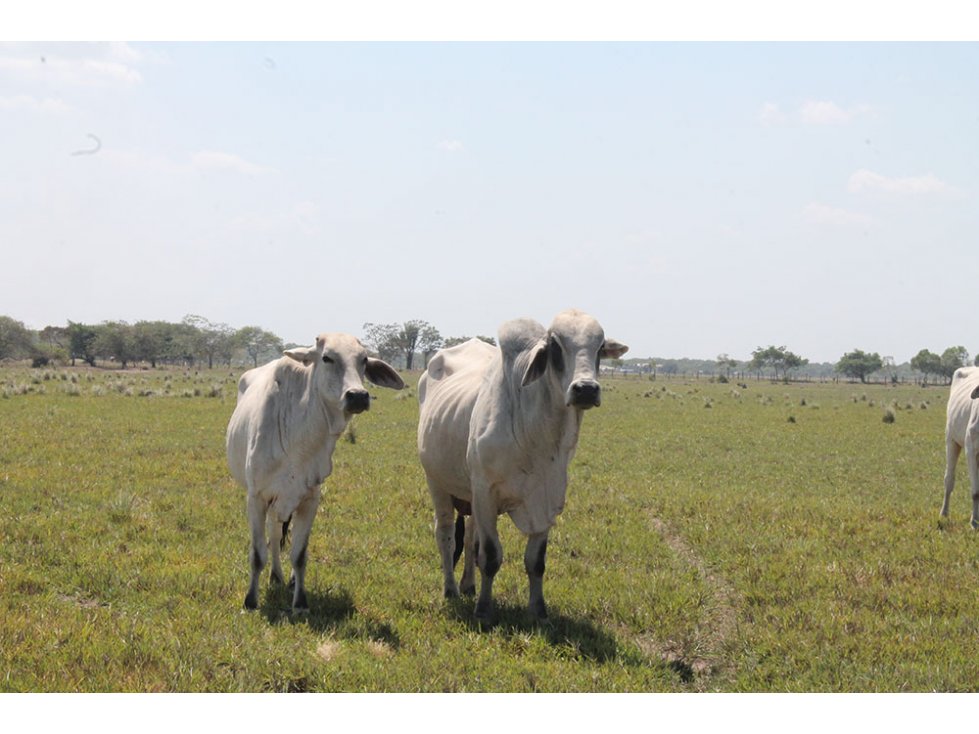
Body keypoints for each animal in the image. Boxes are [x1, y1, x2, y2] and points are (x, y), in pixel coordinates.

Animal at [226, 332, 402, 608]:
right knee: (273, 535)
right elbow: (257, 554)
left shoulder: (309, 499)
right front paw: (250, 601)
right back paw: (274, 576)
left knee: (277, 533)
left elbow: (299, 555)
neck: (298, 441)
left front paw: (300, 602)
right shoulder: (256, 497)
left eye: (363, 360)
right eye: (327, 357)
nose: (358, 396)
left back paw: (282, 577)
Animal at [416, 308, 628, 624]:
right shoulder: (486, 493)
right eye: (555, 346)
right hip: (437, 482)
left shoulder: (547, 498)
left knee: (470, 537)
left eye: (600, 347)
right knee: (446, 535)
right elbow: (490, 556)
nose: (586, 389)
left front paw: (538, 610)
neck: (537, 438)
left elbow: (535, 562)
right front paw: (484, 610)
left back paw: (468, 585)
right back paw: (451, 590)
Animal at [936, 366, 979, 528]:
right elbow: (976, 491)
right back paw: (944, 513)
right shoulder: (970, 449)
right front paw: (974, 522)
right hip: (951, 440)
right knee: (948, 480)